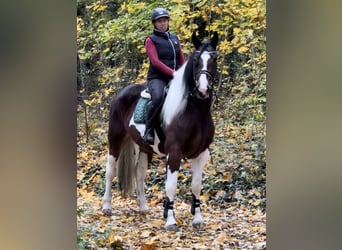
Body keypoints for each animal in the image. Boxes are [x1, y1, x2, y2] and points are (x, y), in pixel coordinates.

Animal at [102, 31, 219, 230]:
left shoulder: (201, 154)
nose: (203, 89)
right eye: (196, 60)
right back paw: (106, 207)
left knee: (139, 173)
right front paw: (170, 220)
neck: (194, 112)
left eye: (214, 58)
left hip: (144, 147)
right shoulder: (174, 153)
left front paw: (197, 218)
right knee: (110, 170)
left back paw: (143, 207)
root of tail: (122, 92)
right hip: (115, 139)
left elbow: (196, 185)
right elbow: (171, 186)